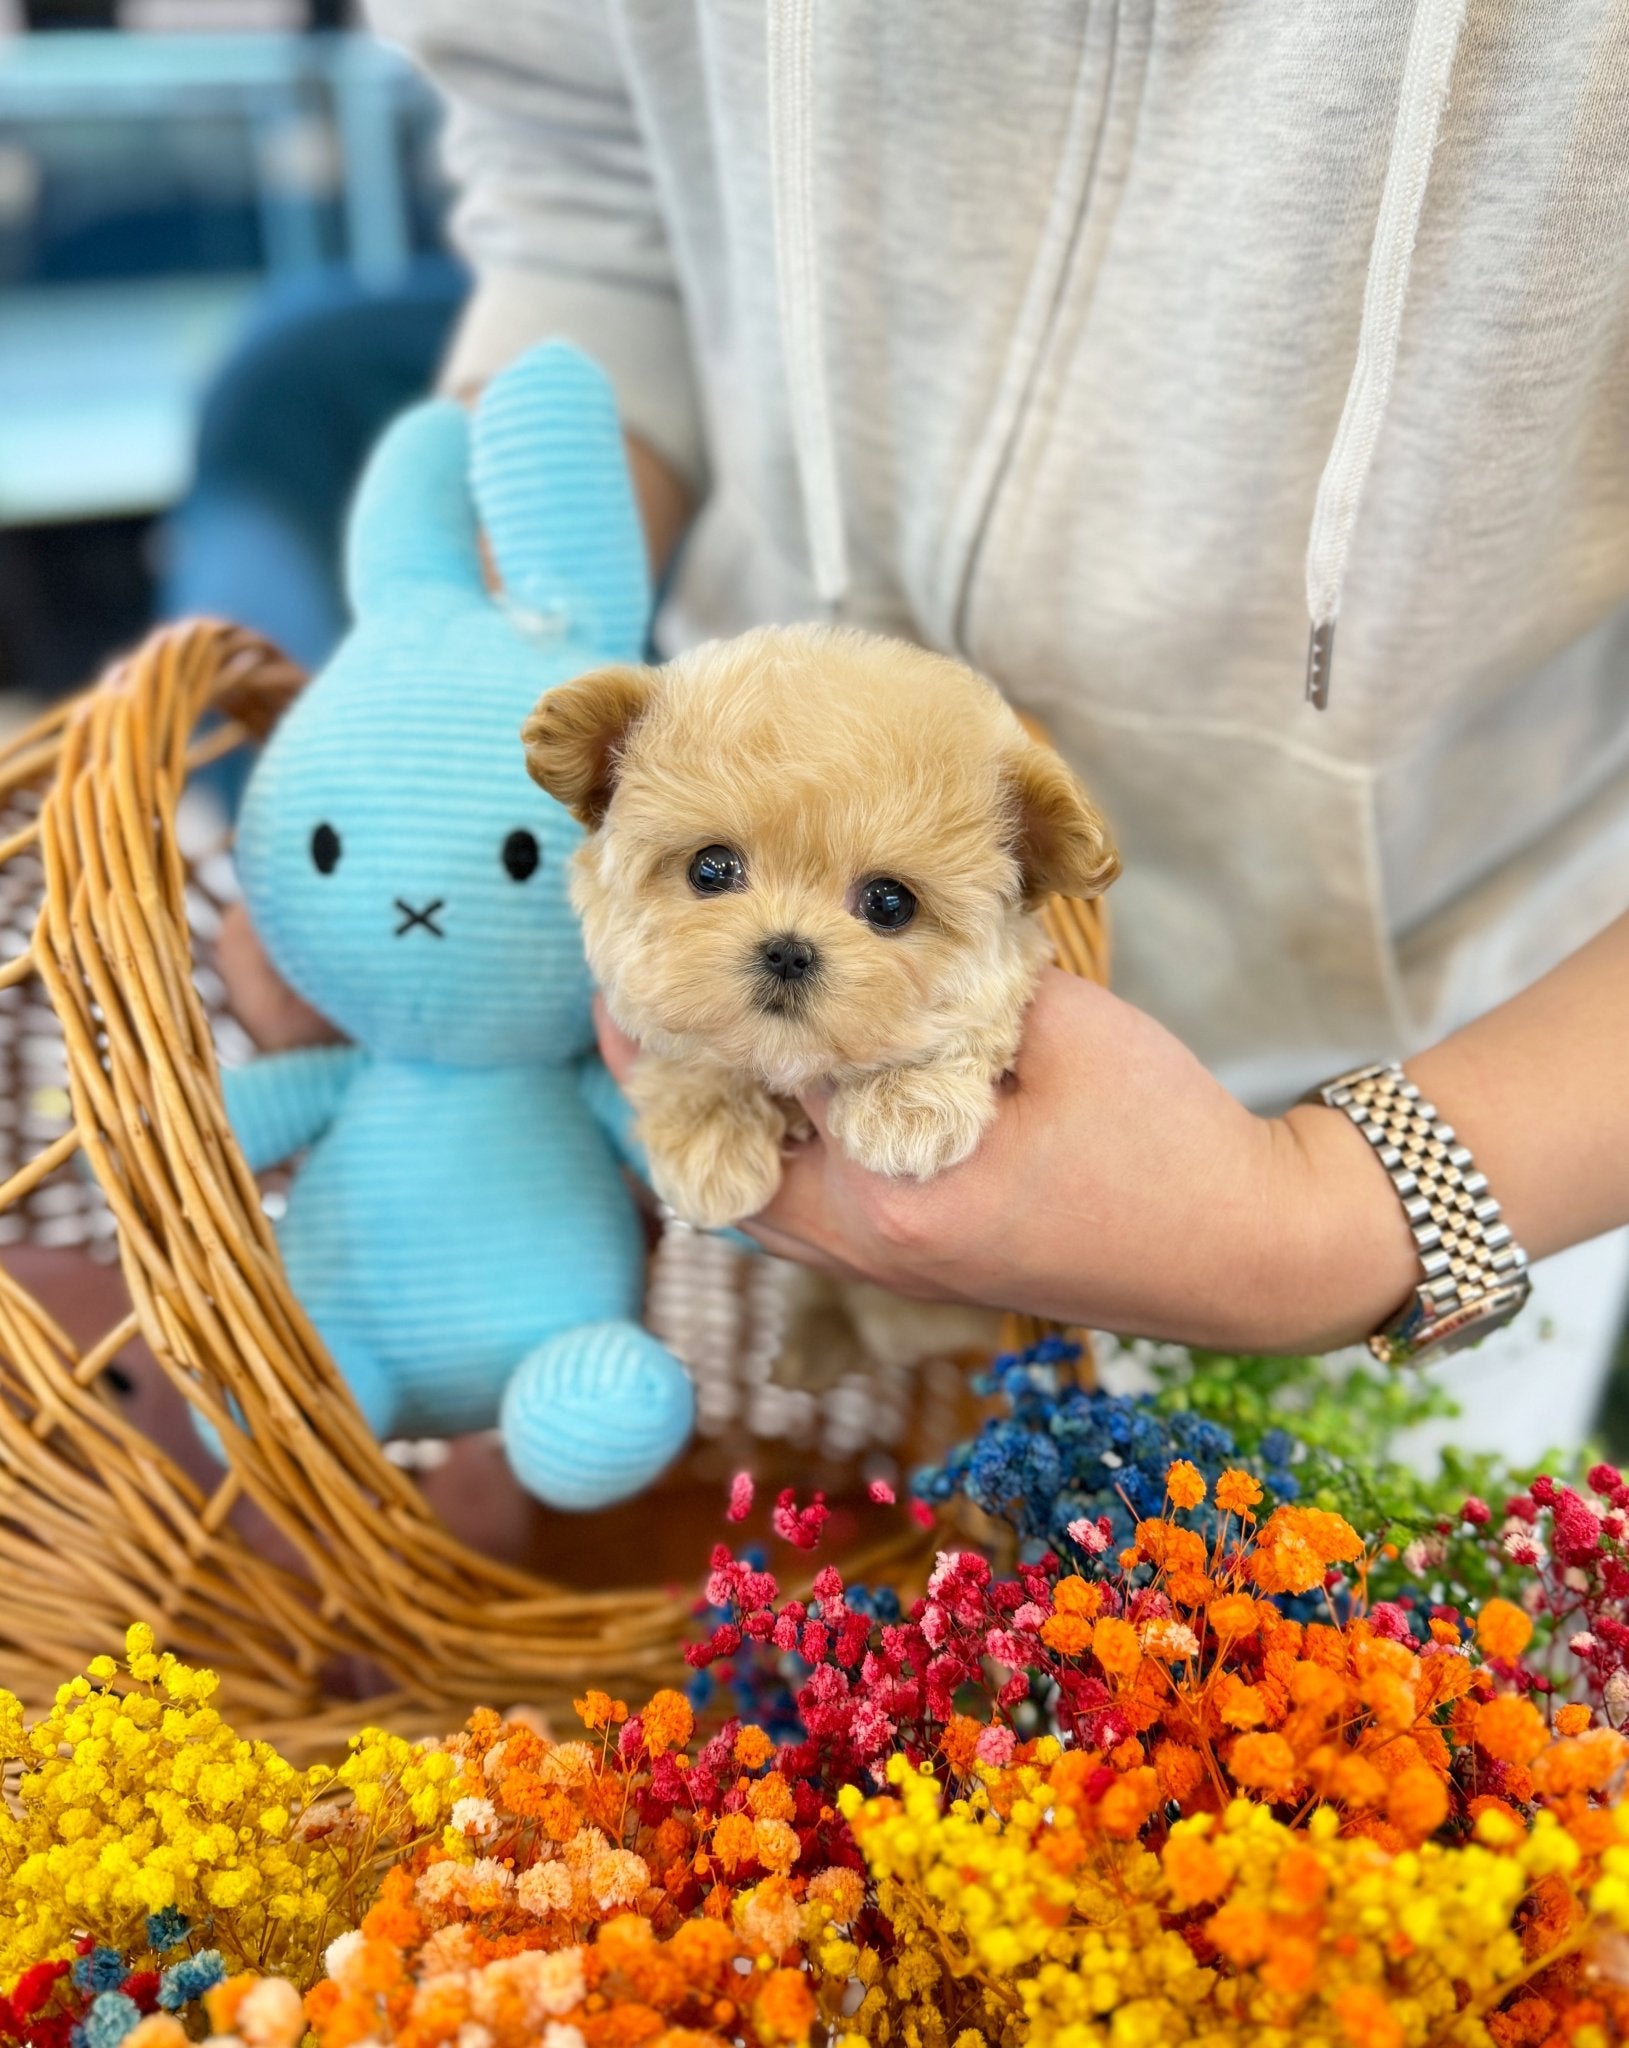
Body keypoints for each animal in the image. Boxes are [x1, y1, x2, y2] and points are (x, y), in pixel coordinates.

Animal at [524, 622, 1122, 1228]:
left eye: (889, 903)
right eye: (710, 869)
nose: (788, 952)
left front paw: (908, 1102)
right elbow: (691, 1047)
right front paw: (709, 1137)